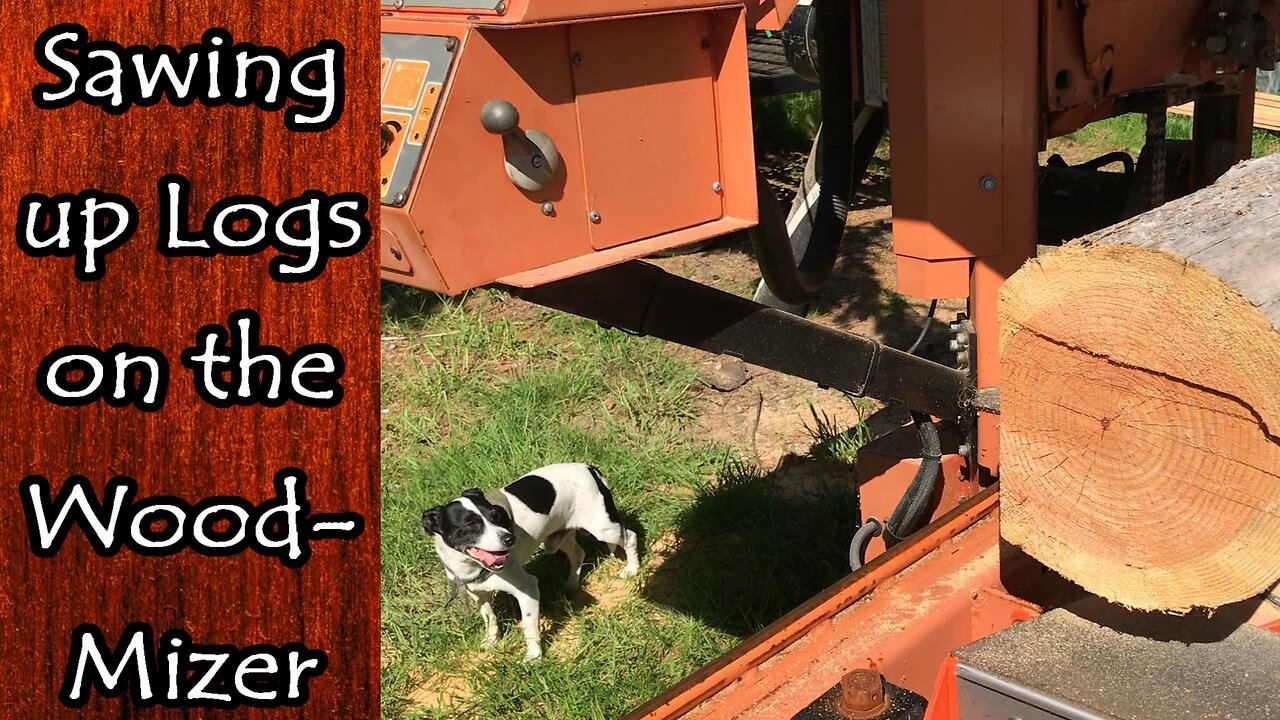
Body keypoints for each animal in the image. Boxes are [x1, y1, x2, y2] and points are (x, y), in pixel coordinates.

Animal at [422, 461, 637, 661]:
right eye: (470, 524)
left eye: (496, 516)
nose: (509, 538)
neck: (470, 566)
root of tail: (588, 467)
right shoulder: (477, 592)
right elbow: (490, 618)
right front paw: (491, 640)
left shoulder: (527, 588)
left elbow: (529, 627)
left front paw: (533, 657)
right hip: (559, 536)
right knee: (578, 553)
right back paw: (571, 585)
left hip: (604, 528)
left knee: (630, 537)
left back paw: (632, 569)